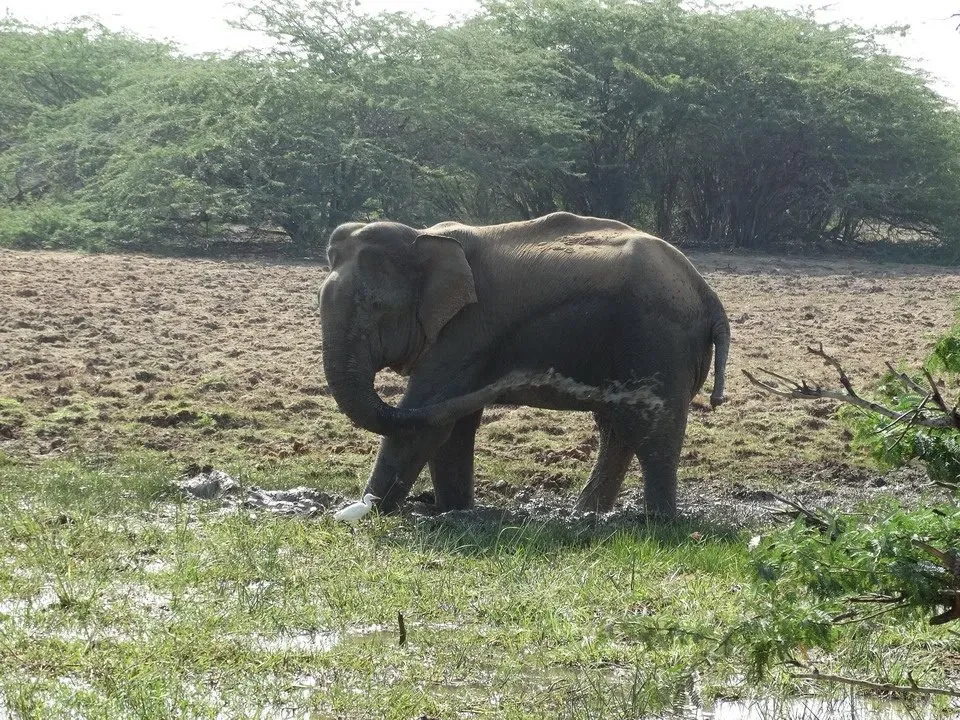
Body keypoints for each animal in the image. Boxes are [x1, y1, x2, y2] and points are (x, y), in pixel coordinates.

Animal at [318, 211, 730, 517]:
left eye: (375, 307)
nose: (528, 374)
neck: (423, 236)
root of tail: (708, 294)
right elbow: (452, 424)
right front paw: (453, 511)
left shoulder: (468, 330)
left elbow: (425, 414)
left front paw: (364, 511)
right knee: (618, 429)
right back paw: (586, 515)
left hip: (660, 344)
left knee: (653, 431)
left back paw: (657, 523)